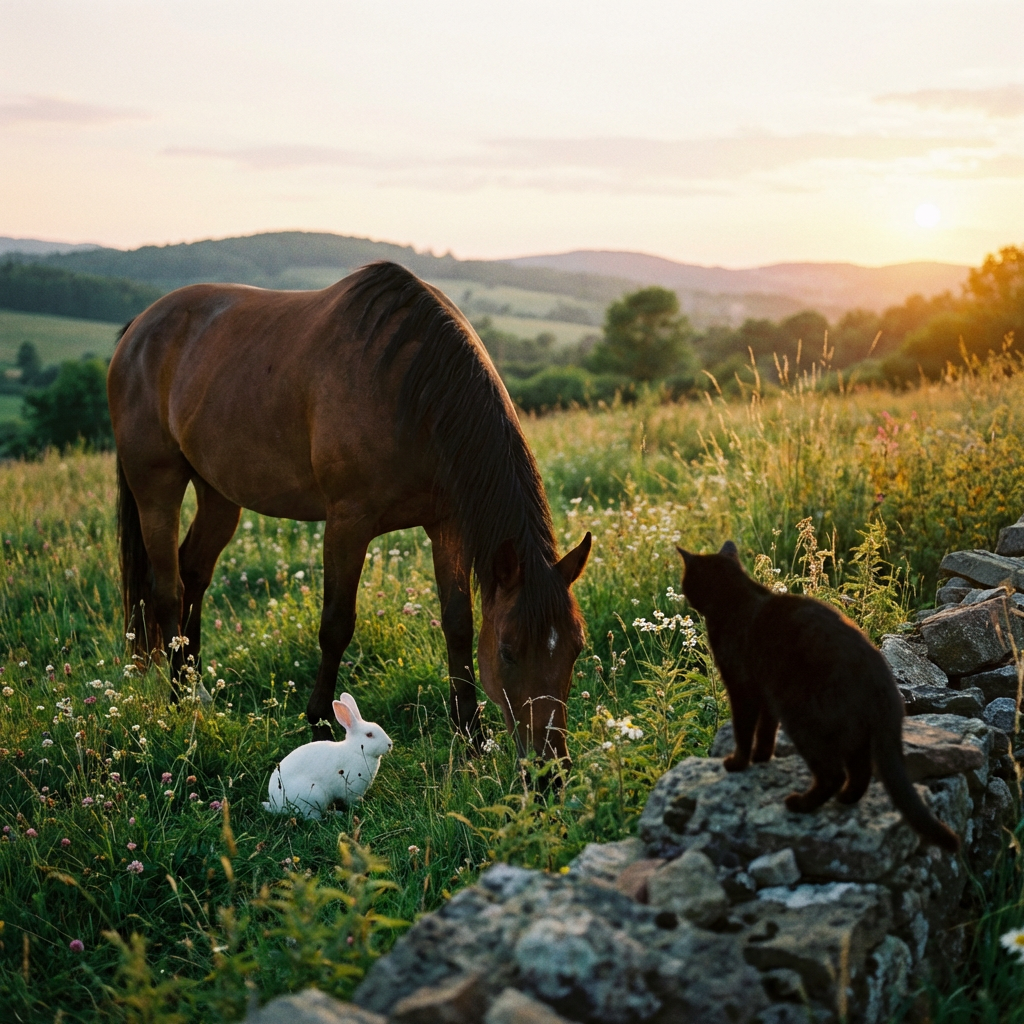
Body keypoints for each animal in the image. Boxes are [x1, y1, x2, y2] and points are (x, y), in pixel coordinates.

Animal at [107, 261, 591, 765]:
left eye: (576, 648)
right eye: (509, 651)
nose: (551, 768)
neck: (410, 391)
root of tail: (137, 330)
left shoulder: (447, 527)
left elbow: (458, 623)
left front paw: (471, 735)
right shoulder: (347, 523)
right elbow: (336, 624)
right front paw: (319, 720)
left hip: (219, 493)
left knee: (194, 573)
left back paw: (197, 687)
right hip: (156, 486)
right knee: (167, 589)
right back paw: (179, 700)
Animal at [263, 692, 393, 819]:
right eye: (369, 735)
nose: (390, 744)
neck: (356, 750)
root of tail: (276, 806)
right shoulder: (353, 790)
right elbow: (352, 801)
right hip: (315, 796)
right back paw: (337, 814)